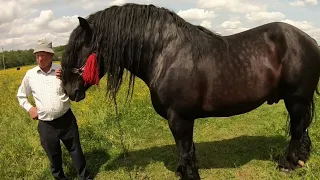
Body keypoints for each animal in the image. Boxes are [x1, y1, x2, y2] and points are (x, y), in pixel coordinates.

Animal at [60, 3, 320, 180]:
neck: (164, 54)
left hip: (296, 99)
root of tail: (308, 40)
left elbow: (184, 149)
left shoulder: (180, 118)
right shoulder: (183, 119)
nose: (69, 90)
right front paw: (184, 171)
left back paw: (287, 164)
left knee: (297, 131)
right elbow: (188, 149)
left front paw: (189, 175)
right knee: (302, 130)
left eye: (79, 49)